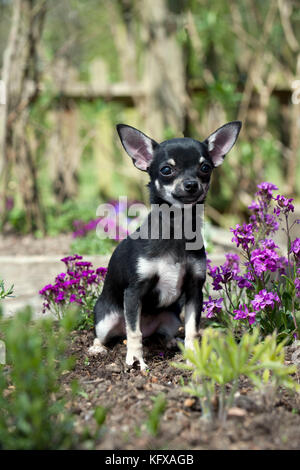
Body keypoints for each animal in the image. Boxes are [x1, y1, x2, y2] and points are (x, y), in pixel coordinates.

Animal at [89, 122, 241, 370]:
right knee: (112, 333)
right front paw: (135, 360)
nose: (191, 184)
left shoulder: (194, 290)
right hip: (107, 319)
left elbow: (192, 330)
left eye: (205, 168)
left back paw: (171, 342)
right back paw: (97, 348)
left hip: (171, 317)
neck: (176, 228)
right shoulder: (134, 292)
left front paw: (193, 356)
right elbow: (134, 333)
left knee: (163, 333)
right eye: (166, 170)